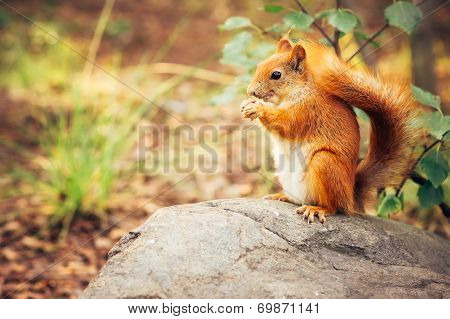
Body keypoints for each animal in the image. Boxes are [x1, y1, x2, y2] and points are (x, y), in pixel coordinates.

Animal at [241, 38, 420, 222]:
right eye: (259, 66)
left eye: (276, 75)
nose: (250, 92)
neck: (297, 91)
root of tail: (350, 197)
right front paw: (247, 105)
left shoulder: (308, 112)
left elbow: (286, 123)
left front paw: (258, 108)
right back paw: (282, 196)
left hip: (325, 163)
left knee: (333, 207)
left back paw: (316, 209)